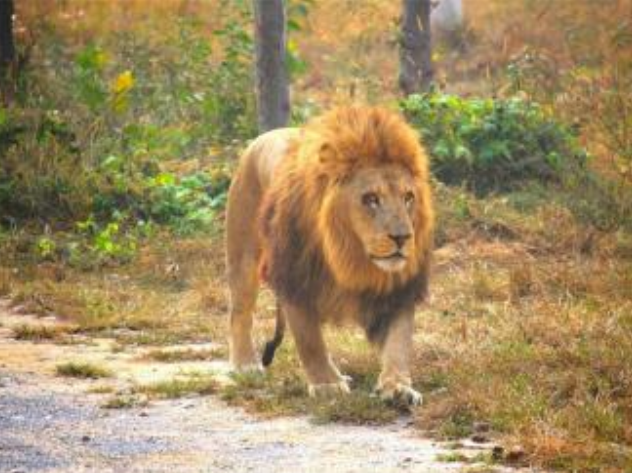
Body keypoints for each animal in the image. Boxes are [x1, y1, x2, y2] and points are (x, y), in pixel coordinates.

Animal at [226, 105, 434, 404]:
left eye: (408, 197)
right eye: (371, 199)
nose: (403, 237)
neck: (348, 254)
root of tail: (263, 136)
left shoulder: (399, 289)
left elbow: (398, 342)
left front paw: (398, 387)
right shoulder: (295, 279)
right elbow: (310, 340)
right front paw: (327, 385)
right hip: (244, 255)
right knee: (240, 311)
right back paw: (245, 365)